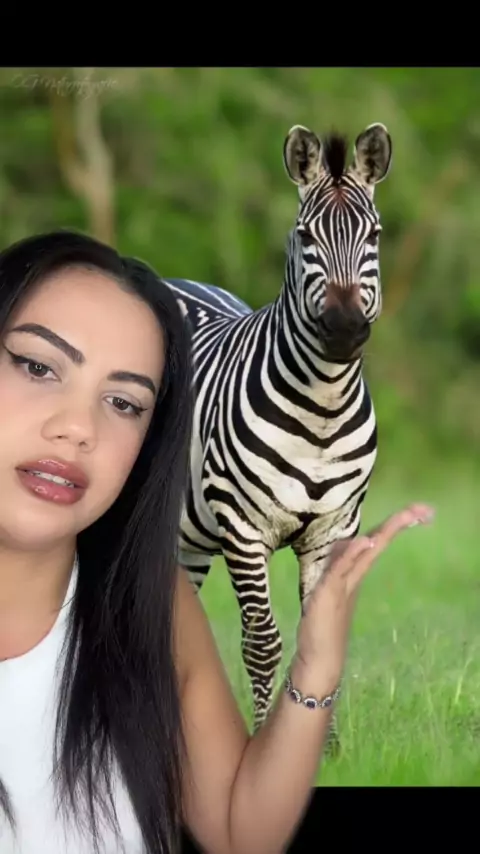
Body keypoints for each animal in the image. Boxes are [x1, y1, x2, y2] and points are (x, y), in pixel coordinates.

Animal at [164, 121, 392, 737]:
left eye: (375, 235)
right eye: (305, 236)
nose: (344, 328)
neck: (322, 410)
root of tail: (173, 278)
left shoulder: (334, 529)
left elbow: (320, 636)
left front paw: (325, 747)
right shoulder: (243, 528)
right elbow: (262, 643)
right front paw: (265, 737)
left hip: (189, 540)